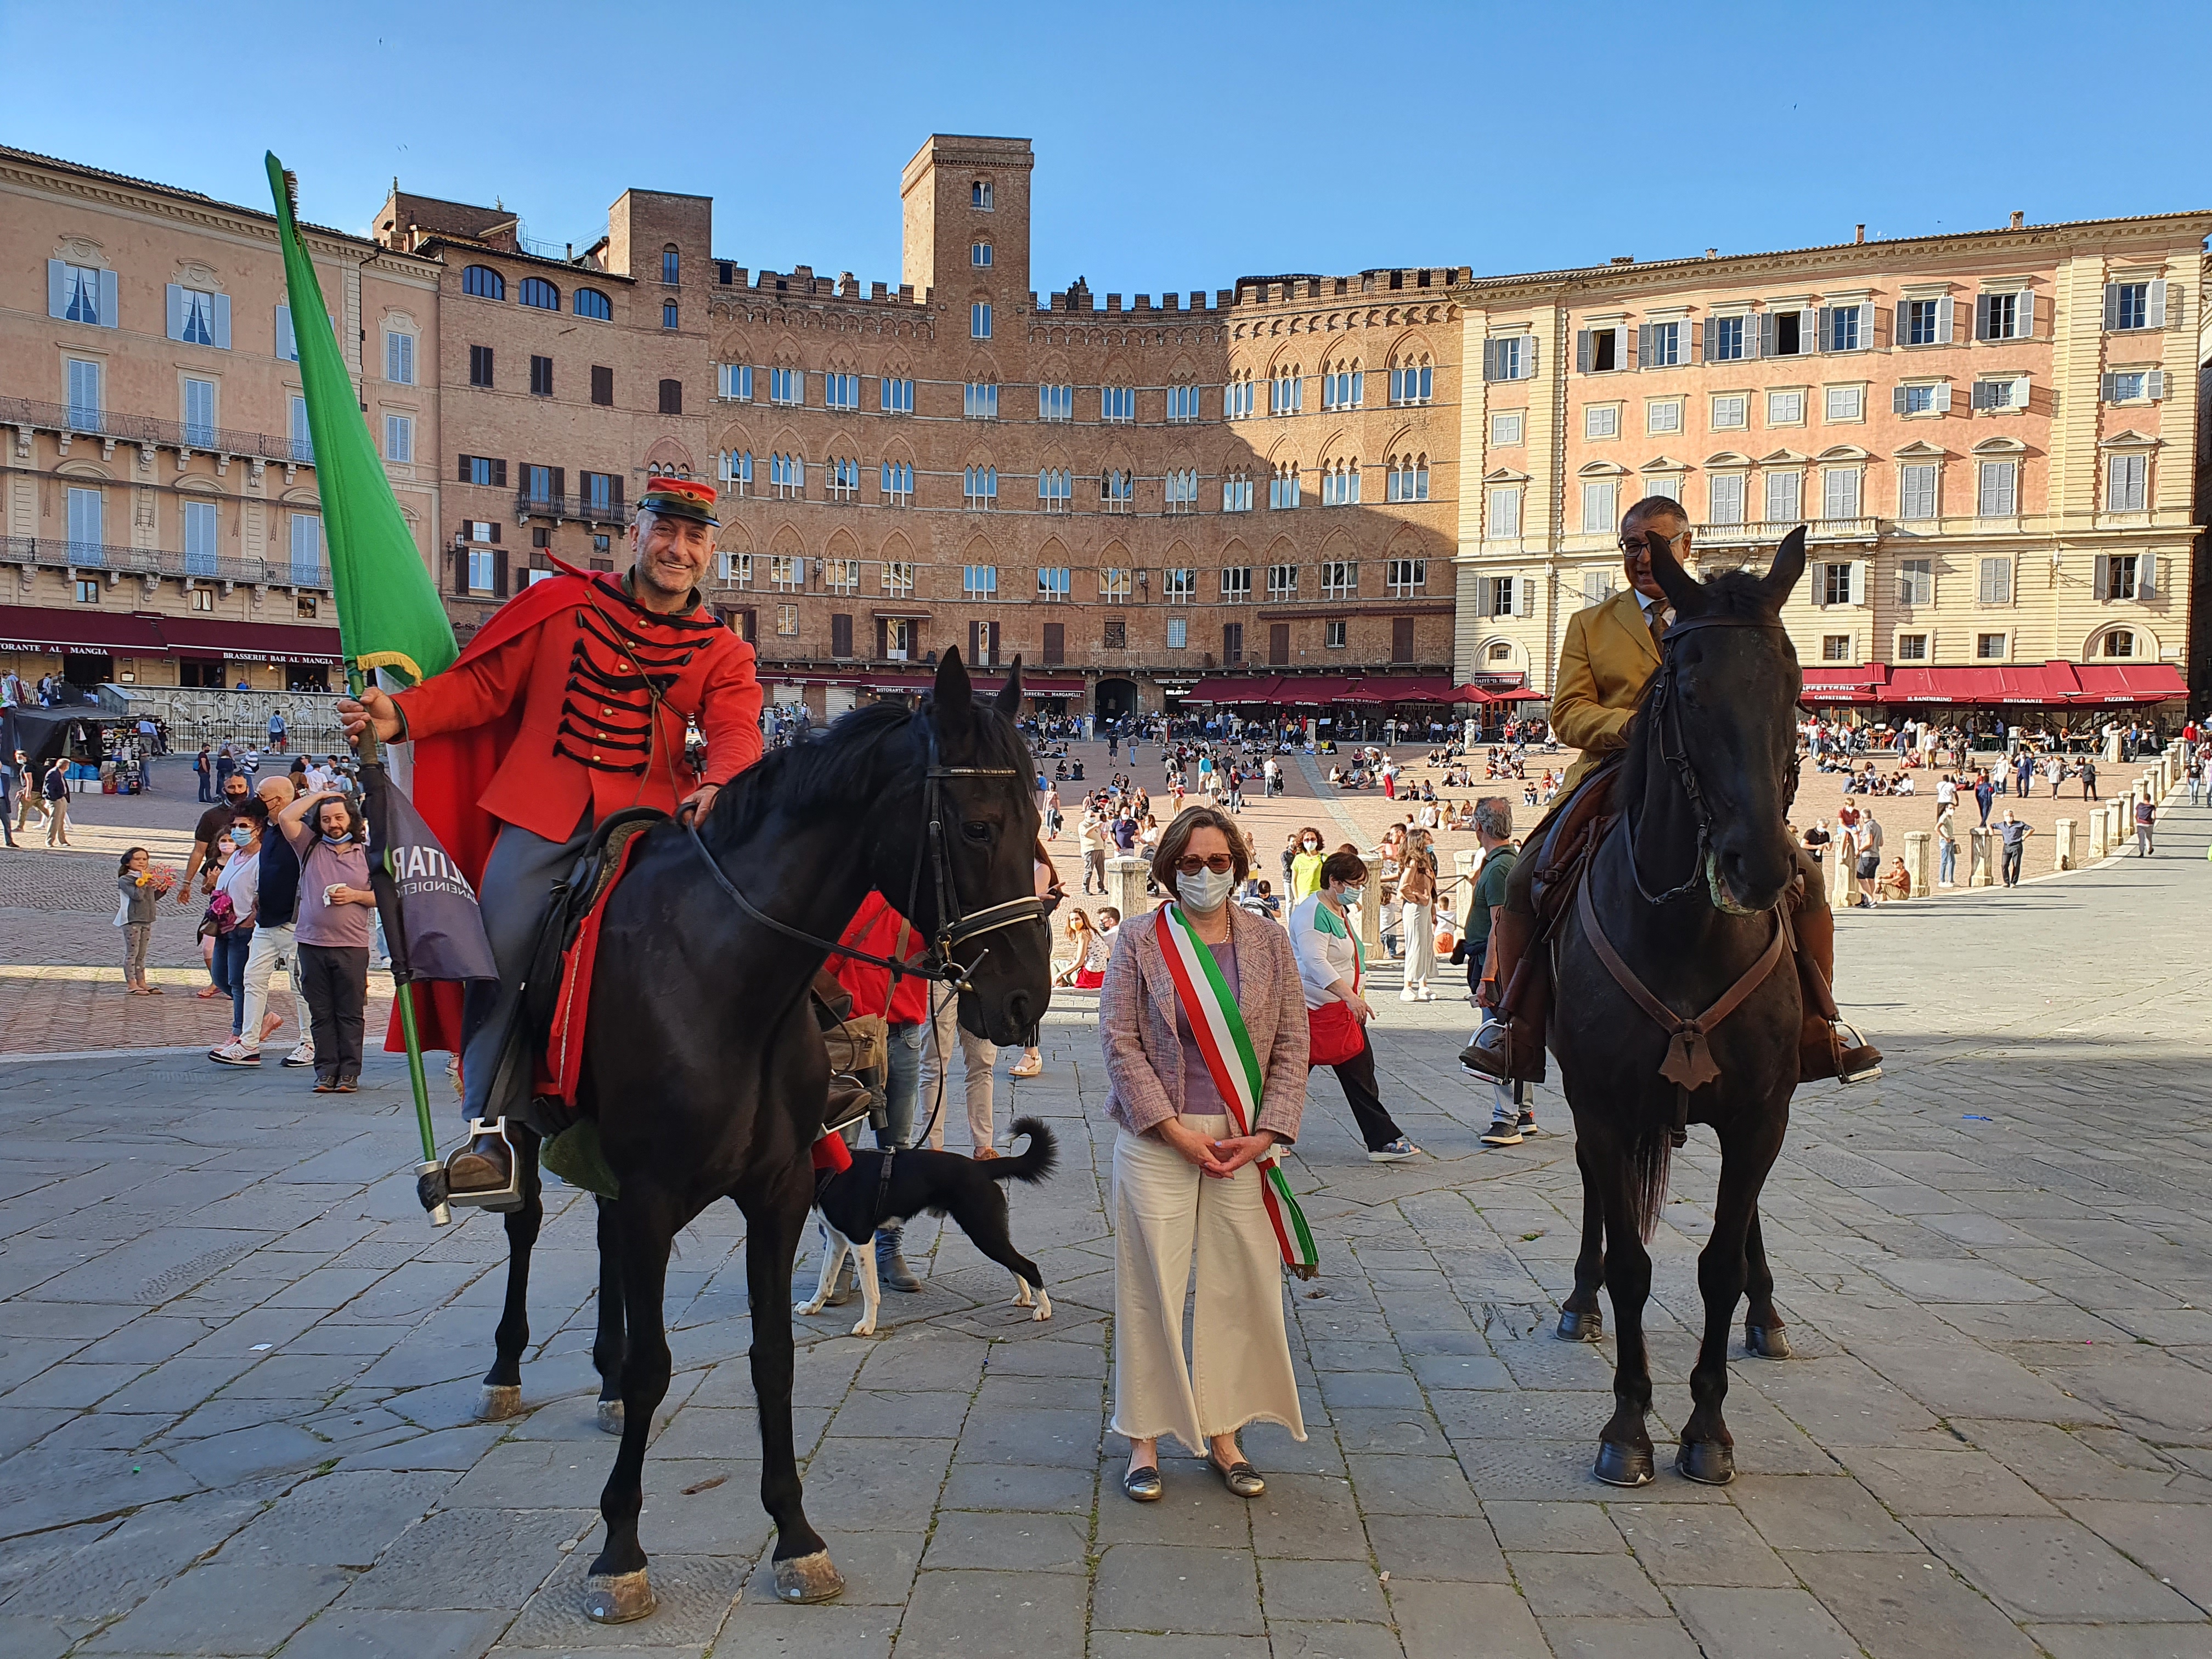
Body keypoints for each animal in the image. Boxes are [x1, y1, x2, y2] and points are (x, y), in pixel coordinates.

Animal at [805, 1119, 1062, 1336]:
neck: (832, 1169)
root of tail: (981, 1168)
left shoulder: (860, 1239)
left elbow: (870, 1290)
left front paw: (867, 1325)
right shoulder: (838, 1239)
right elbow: (826, 1279)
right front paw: (811, 1307)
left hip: (984, 1233)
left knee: (1028, 1266)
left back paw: (1044, 1310)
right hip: (991, 1233)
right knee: (1015, 1263)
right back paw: (1025, 1296)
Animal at [1548, 528, 1805, 1495]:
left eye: (1795, 686)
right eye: (1687, 693)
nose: (1758, 865)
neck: (1688, 931)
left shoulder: (1762, 1111)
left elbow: (1719, 1265)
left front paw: (1707, 1428)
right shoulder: (1602, 1105)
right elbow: (1632, 1263)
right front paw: (1628, 1425)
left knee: (1747, 1227)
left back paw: (1769, 1319)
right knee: (1598, 1196)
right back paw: (1577, 1301)